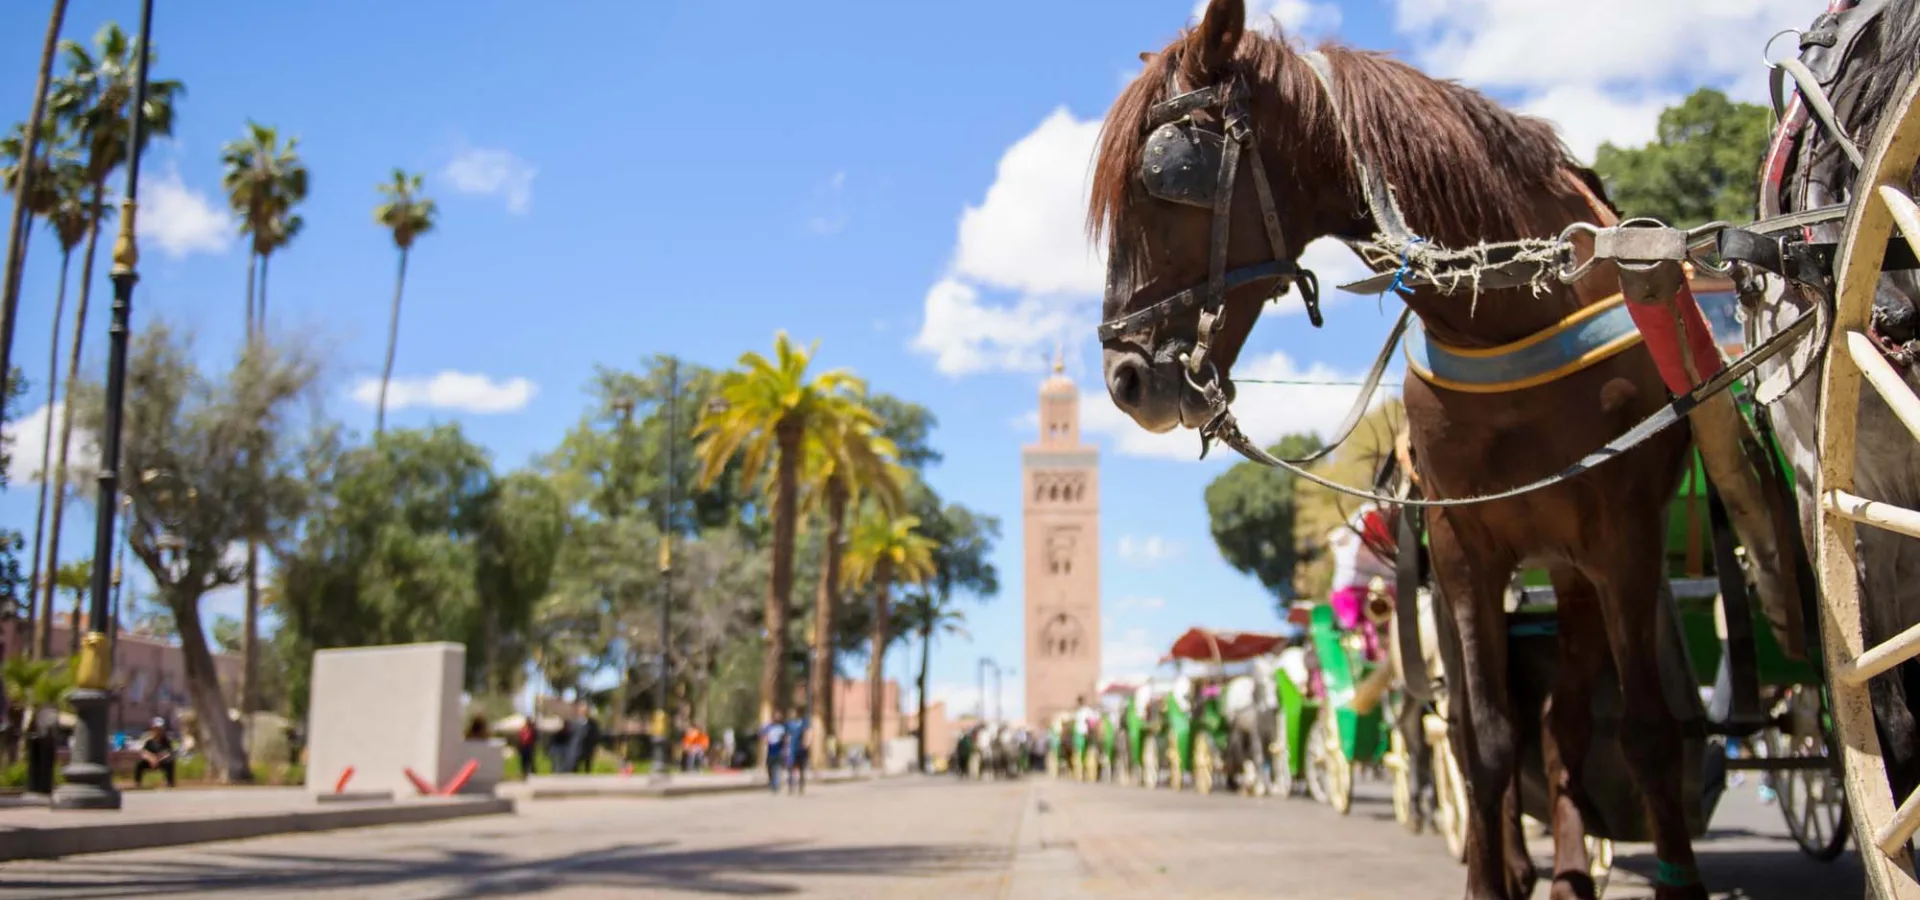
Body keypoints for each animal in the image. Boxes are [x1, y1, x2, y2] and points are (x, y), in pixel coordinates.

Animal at [1090, 3, 1699, 897]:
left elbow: (1647, 734)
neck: (1513, 310)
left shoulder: (1625, 539)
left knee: (1563, 725)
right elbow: (1483, 740)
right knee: (1481, 722)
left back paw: (1566, 867)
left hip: (1570, 572)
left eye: (1160, 178)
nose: (1125, 380)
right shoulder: (1459, 546)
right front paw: (1488, 877)